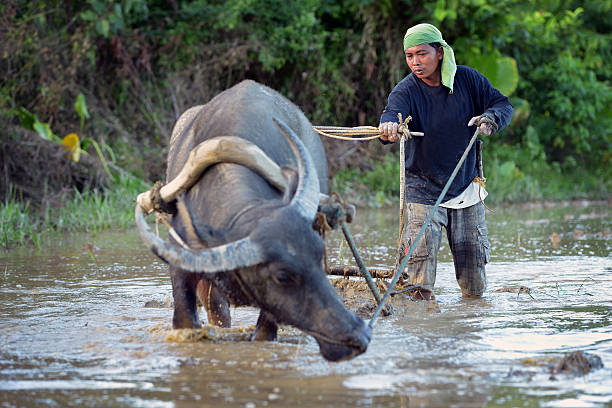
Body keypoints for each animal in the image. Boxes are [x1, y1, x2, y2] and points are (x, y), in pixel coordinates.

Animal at [136, 79, 370, 360]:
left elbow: (264, 333)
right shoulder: (181, 261)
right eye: (282, 276)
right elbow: (187, 320)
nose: (360, 334)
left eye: (318, 255)